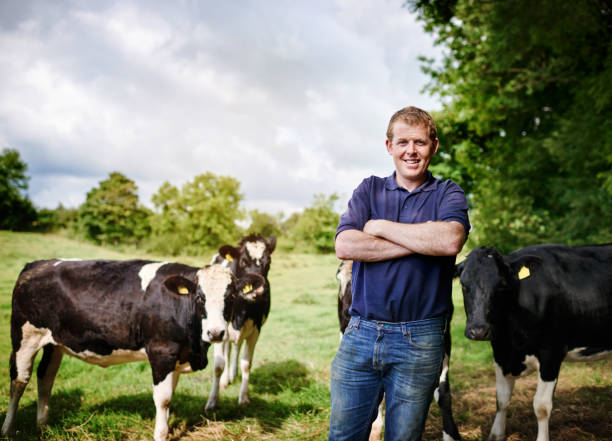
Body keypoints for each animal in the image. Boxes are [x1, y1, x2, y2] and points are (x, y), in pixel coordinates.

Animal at [0, 258, 253, 440]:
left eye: (231, 297)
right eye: (200, 297)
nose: (216, 333)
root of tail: (36, 264)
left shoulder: (177, 358)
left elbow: (170, 396)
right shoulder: (161, 353)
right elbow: (163, 399)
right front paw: (160, 435)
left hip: (55, 343)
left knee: (46, 376)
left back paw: (43, 425)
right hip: (24, 336)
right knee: (19, 379)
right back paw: (8, 430)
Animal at [206, 234, 274, 410]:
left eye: (268, 263)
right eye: (243, 261)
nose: (259, 290)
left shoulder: (255, 331)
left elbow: (246, 363)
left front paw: (244, 396)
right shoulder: (217, 330)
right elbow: (218, 365)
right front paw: (213, 400)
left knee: (236, 347)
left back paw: (233, 374)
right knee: (228, 351)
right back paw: (226, 379)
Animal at [456, 244, 612, 440]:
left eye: (501, 286)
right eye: (464, 285)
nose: (478, 330)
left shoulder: (551, 353)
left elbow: (541, 406)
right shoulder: (500, 353)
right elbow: (501, 399)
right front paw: (496, 434)